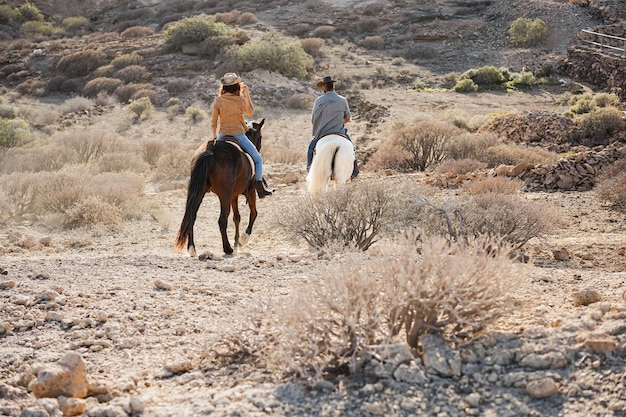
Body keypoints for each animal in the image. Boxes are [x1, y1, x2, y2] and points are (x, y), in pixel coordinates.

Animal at [174, 117, 264, 254]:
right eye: (261, 136)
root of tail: (210, 151)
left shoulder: (233, 196)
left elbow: (237, 217)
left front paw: (237, 242)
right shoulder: (250, 190)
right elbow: (253, 213)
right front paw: (243, 238)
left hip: (200, 192)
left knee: (192, 216)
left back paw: (192, 248)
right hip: (224, 195)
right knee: (222, 220)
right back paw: (227, 248)